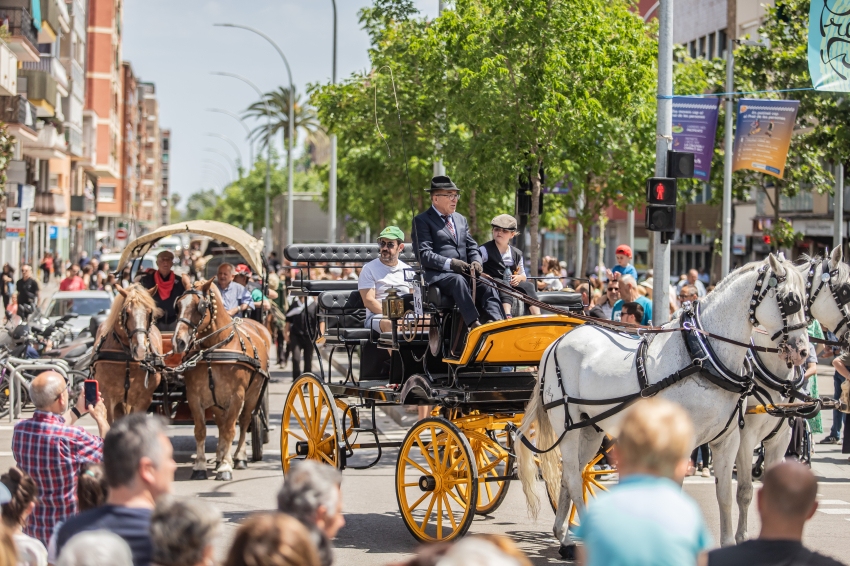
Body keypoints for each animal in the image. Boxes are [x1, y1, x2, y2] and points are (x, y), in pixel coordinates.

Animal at [93, 286, 165, 424]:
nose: (141, 349)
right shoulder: (107, 398)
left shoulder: (144, 399)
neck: (126, 358)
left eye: (149, 312)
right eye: (127, 312)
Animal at [176, 280, 272, 484]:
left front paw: (226, 467)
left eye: (199, 306)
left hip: (253, 394)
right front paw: (200, 467)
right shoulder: (195, 396)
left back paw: (239, 458)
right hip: (216, 401)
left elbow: (230, 430)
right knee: (221, 422)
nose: (179, 341)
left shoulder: (237, 397)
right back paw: (220, 457)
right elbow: (201, 430)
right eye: (178, 305)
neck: (215, 348)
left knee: (243, 422)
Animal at [516, 258, 808, 560]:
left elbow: (727, 495)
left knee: (569, 475)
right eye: (790, 301)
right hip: (568, 426)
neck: (702, 356)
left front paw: (730, 544)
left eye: (806, 299)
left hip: (589, 428)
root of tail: (556, 343)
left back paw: (564, 537)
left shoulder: (729, 440)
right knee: (574, 477)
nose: (802, 352)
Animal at [708, 251, 848, 548]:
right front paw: (742, 537)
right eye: (845, 290)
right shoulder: (745, 437)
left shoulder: (780, 438)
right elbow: (745, 491)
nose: (803, 351)